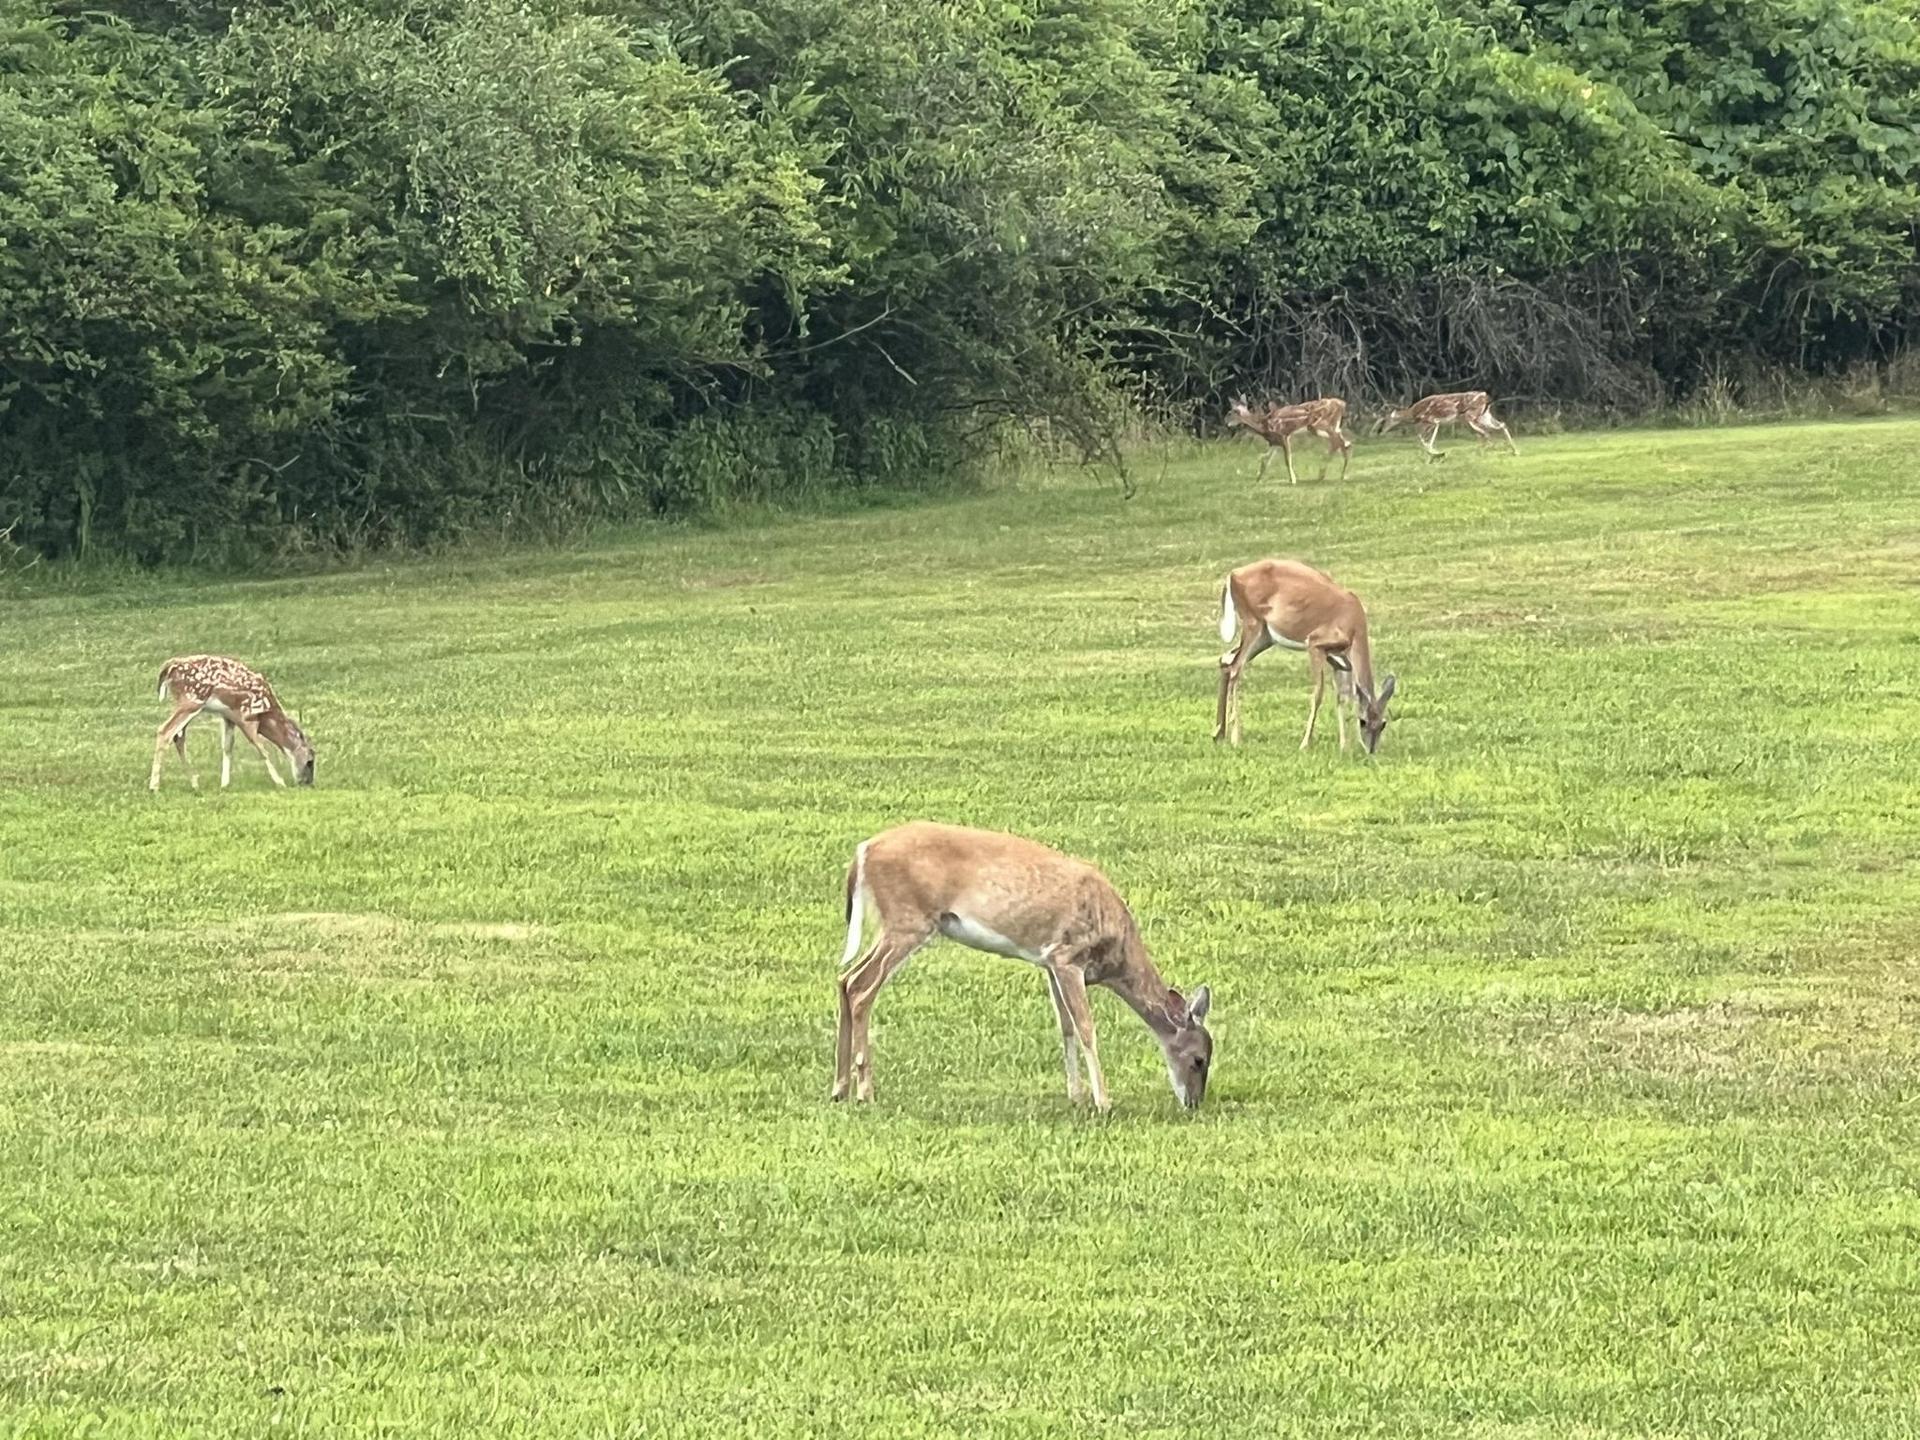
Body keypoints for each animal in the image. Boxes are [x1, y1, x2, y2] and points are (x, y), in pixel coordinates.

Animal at [150, 655, 315, 791]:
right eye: (310, 761)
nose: (307, 782)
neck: (266, 715)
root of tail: (168, 668)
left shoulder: (228, 716)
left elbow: (227, 746)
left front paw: (224, 784)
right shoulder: (246, 716)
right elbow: (261, 749)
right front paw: (280, 782)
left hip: (185, 703)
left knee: (178, 737)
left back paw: (194, 783)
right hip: (192, 700)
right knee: (165, 731)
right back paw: (154, 786)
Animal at [833, 822, 1215, 1112]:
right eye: (1198, 1059)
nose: (1194, 1103)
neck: (1114, 951)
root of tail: (863, 851)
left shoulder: (1050, 964)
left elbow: (1066, 1027)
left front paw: (1076, 1096)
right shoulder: (1067, 956)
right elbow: (1086, 1027)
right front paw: (1102, 1101)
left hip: (895, 925)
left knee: (845, 978)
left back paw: (840, 1087)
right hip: (908, 921)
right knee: (861, 987)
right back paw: (865, 1091)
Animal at [1215, 559, 1397, 753]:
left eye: (1383, 724)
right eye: (1363, 722)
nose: (1371, 750)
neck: (1354, 628)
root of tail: (1232, 574)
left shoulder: (1339, 660)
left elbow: (1342, 696)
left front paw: (1343, 746)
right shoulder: (1315, 643)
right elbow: (1318, 694)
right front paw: (1305, 744)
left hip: (1266, 636)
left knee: (1226, 659)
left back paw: (1219, 733)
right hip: (1252, 622)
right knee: (1236, 667)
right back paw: (1235, 737)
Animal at [1225, 395, 1353, 483]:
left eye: (1230, 412)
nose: (1226, 423)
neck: (1264, 425)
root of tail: (1342, 404)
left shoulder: (1284, 436)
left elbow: (1287, 460)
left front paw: (1292, 480)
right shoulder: (1274, 443)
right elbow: (1265, 459)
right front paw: (1258, 479)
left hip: (1318, 425)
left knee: (1338, 441)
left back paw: (1331, 474)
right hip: (1328, 426)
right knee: (1341, 442)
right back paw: (1333, 474)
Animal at [1373, 390, 1516, 460]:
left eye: (1383, 420)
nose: (1379, 431)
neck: (1414, 414)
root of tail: (1486, 397)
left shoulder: (1432, 421)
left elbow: (1423, 440)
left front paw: (1437, 454)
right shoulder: (1429, 424)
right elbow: (1421, 440)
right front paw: (1435, 455)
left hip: (1471, 416)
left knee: (1485, 433)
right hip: (1483, 415)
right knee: (1500, 425)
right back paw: (1514, 451)